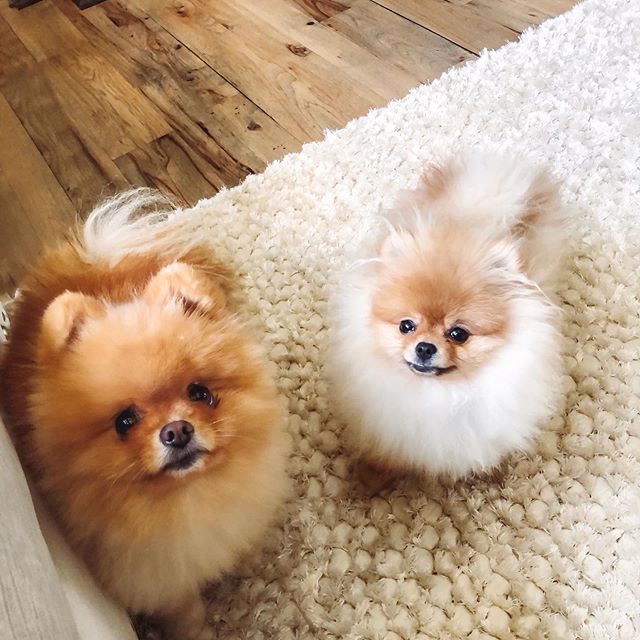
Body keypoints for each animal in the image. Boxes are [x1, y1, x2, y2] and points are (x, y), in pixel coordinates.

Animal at [0, 191, 288, 640]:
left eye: (200, 393)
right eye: (124, 421)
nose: (177, 430)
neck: (188, 499)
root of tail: (99, 258)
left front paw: (245, 562)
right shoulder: (157, 576)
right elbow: (185, 612)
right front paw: (197, 633)